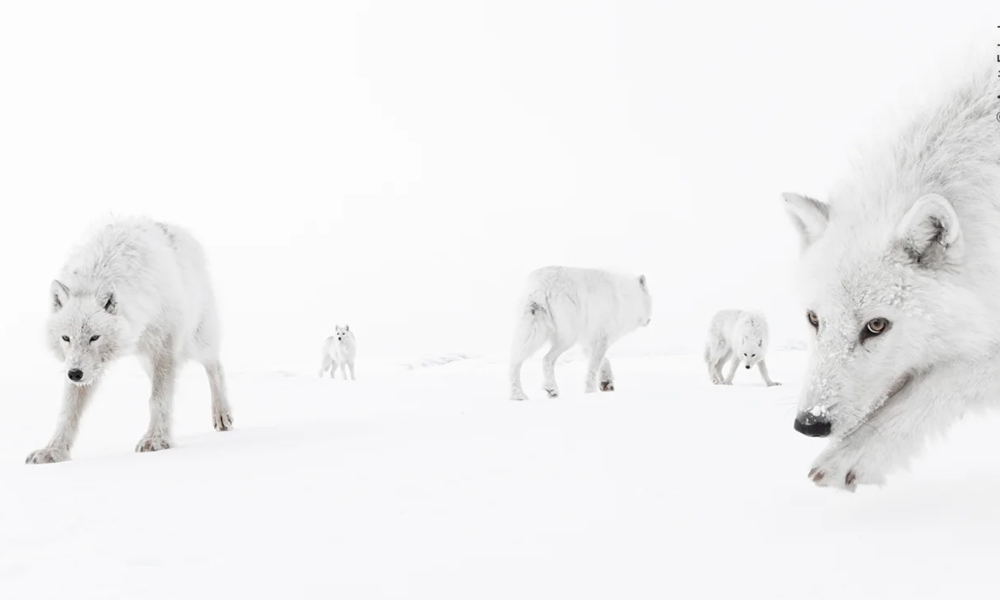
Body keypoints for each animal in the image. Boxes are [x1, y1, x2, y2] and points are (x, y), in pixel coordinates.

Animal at [26, 217, 234, 464]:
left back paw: (222, 414)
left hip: (196, 340)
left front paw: (155, 439)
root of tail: (175, 228)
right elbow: (68, 412)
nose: (74, 374)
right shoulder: (82, 367)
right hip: (146, 360)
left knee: (215, 366)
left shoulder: (164, 347)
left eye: (94, 337)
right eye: (66, 338)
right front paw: (53, 451)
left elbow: (157, 399)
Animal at [508, 266, 652, 401]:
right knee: (546, 359)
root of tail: (542, 285)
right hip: (567, 339)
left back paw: (519, 395)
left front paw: (606, 382)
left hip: (532, 333)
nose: (649, 320)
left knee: (515, 361)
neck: (628, 296)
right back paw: (550, 389)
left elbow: (604, 360)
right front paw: (591, 392)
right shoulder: (601, 340)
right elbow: (593, 367)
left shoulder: (589, 342)